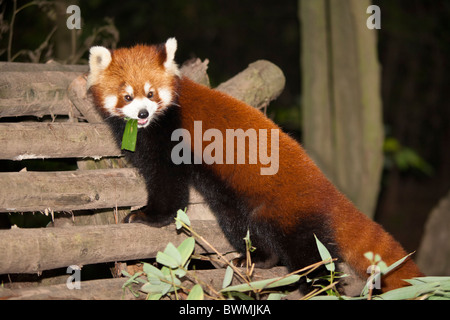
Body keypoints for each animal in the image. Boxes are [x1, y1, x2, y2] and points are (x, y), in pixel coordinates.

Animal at [88, 37, 422, 292]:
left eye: (151, 93)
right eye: (127, 96)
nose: (143, 113)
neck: (150, 127)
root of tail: (327, 189)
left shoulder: (171, 140)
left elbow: (168, 188)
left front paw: (148, 216)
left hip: (290, 213)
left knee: (310, 253)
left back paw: (317, 286)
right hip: (244, 206)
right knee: (246, 229)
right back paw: (259, 259)